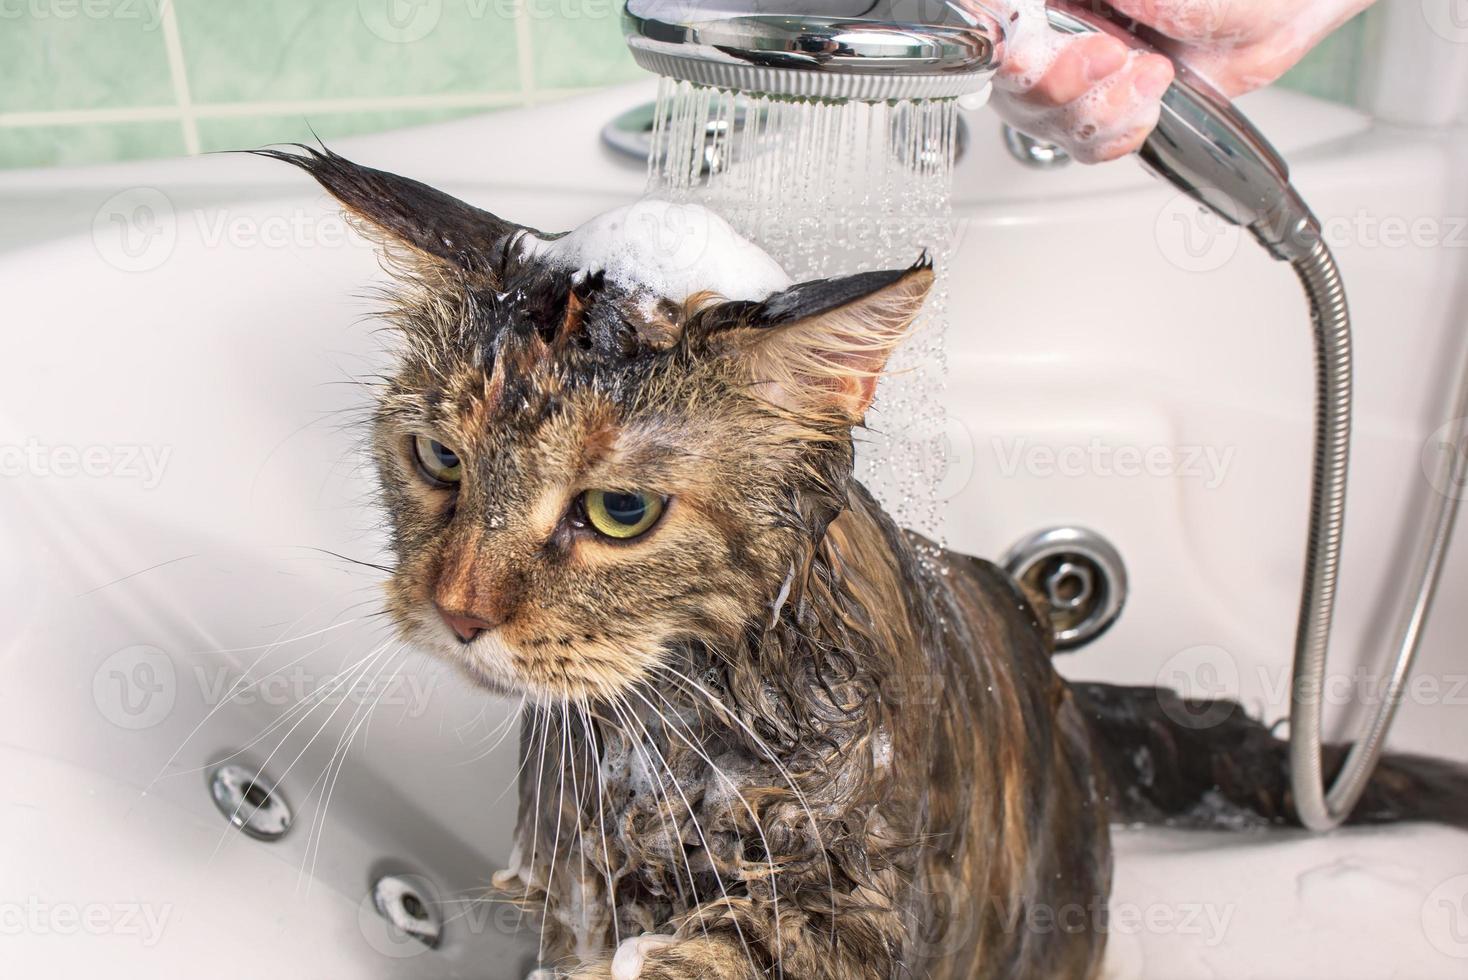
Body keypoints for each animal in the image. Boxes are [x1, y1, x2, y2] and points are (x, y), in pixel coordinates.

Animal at [264, 147, 1468, 979]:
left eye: (619, 511)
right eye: (438, 460)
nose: (457, 610)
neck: (678, 739)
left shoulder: (855, 903)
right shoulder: (571, 882)